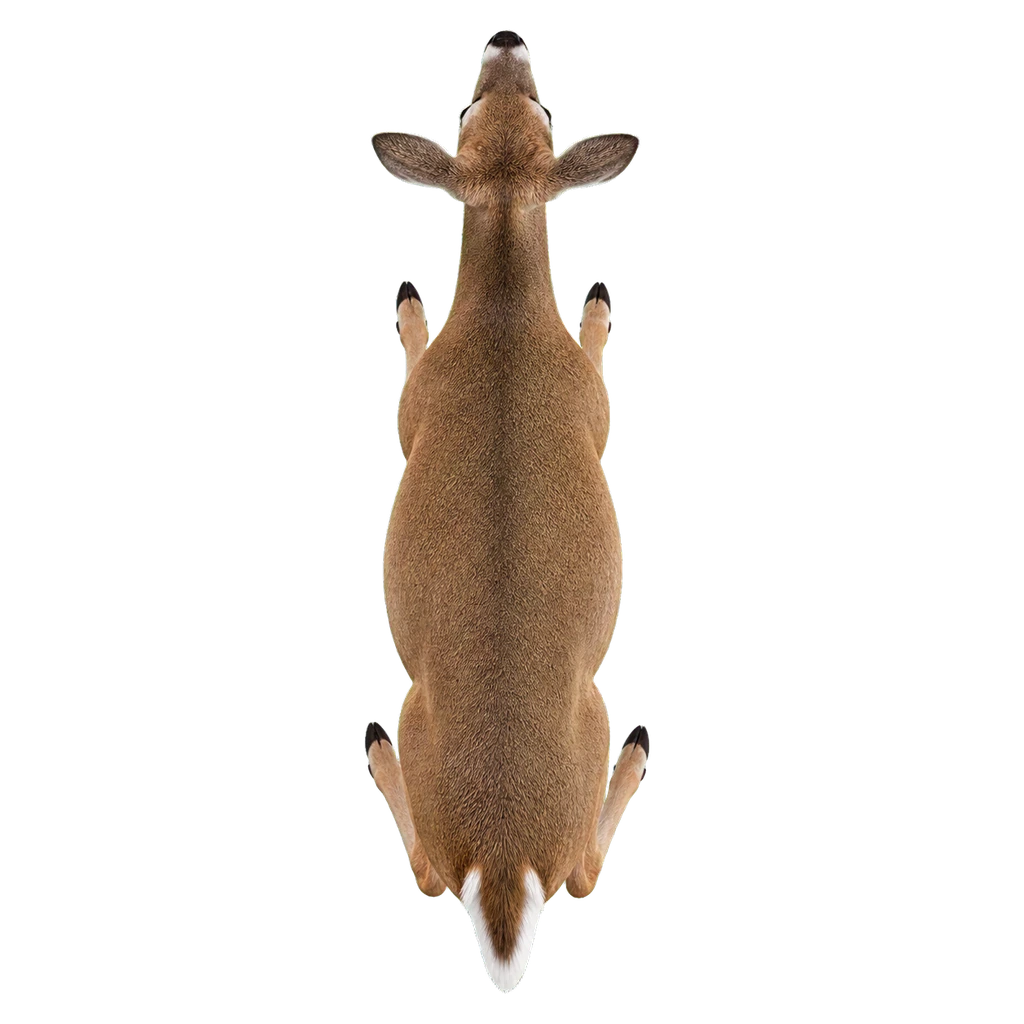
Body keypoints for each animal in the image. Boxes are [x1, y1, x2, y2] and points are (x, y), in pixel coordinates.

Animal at [366, 30, 647, 994]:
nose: (505, 41)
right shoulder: (588, 403)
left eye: (533, 108)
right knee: (577, 871)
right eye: (475, 107)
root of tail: (501, 852)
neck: (499, 319)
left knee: (446, 870)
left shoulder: (423, 405)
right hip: (577, 716)